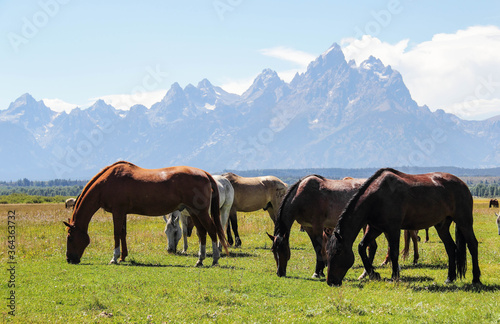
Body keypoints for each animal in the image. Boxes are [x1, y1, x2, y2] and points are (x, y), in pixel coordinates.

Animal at [63, 161, 228, 268]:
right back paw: (200, 260)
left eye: (70, 238)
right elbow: (123, 233)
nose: (69, 259)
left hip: (200, 212)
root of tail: (205, 174)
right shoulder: (122, 212)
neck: (106, 183)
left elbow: (116, 233)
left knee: (212, 230)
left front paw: (114, 258)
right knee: (202, 233)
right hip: (194, 212)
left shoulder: (117, 211)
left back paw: (215, 259)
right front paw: (123, 256)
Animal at [326, 167, 482, 286]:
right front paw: (374, 274)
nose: (331, 281)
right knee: (450, 248)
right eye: (327, 252)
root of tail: (462, 184)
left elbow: (394, 252)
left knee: (472, 245)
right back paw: (450, 278)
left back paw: (476, 279)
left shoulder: (393, 229)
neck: (377, 196)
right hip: (442, 226)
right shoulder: (376, 228)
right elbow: (362, 247)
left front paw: (394, 277)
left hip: (464, 222)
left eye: (338, 252)